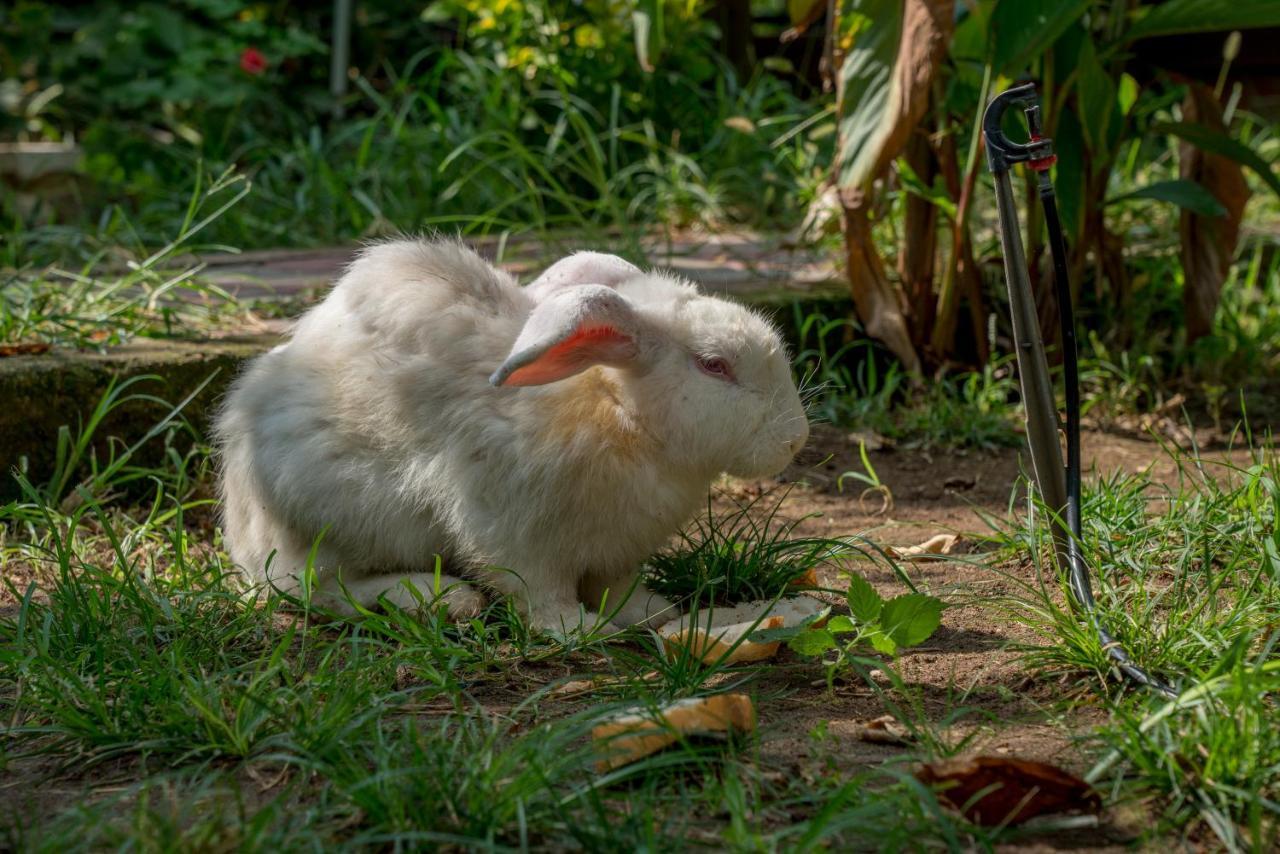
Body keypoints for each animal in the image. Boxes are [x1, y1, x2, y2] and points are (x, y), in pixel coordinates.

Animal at [215, 236, 803, 632]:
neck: (613, 413)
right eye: (714, 365)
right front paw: (578, 630)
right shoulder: (514, 532)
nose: (794, 440)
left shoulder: (616, 553)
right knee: (316, 588)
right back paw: (437, 597)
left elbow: (618, 587)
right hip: (336, 519)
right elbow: (539, 591)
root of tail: (242, 532)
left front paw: (649, 612)